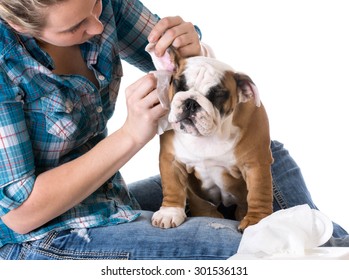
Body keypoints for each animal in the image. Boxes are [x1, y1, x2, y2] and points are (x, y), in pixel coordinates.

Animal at [146, 45, 272, 230]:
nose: (191, 102)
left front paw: (257, 222)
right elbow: (173, 186)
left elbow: (259, 192)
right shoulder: (171, 159)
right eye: (178, 84)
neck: (212, 134)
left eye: (217, 95)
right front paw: (169, 213)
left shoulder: (255, 163)